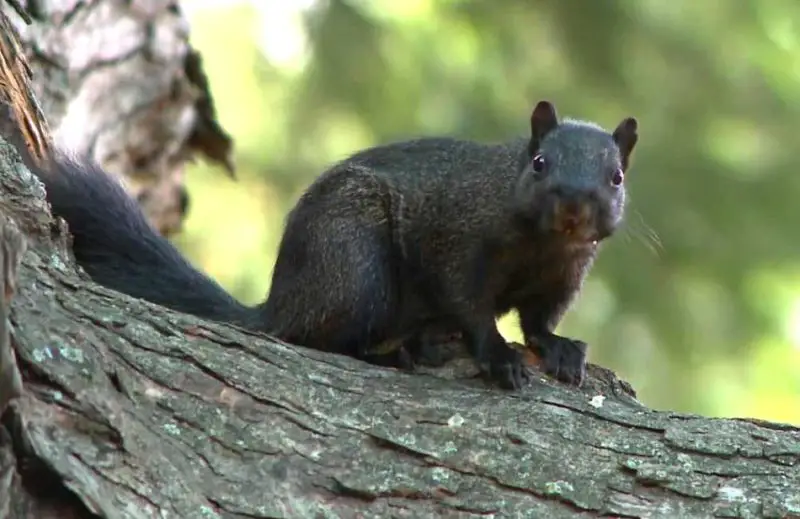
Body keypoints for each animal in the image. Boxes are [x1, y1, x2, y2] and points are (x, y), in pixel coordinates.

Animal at [24, 100, 638, 390]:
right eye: (540, 163)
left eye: (616, 177)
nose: (575, 203)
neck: (542, 245)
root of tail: (280, 302)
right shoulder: (457, 242)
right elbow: (471, 307)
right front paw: (499, 355)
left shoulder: (563, 275)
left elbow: (539, 319)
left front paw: (558, 348)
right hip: (354, 260)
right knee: (328, 339)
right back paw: (399, 351)